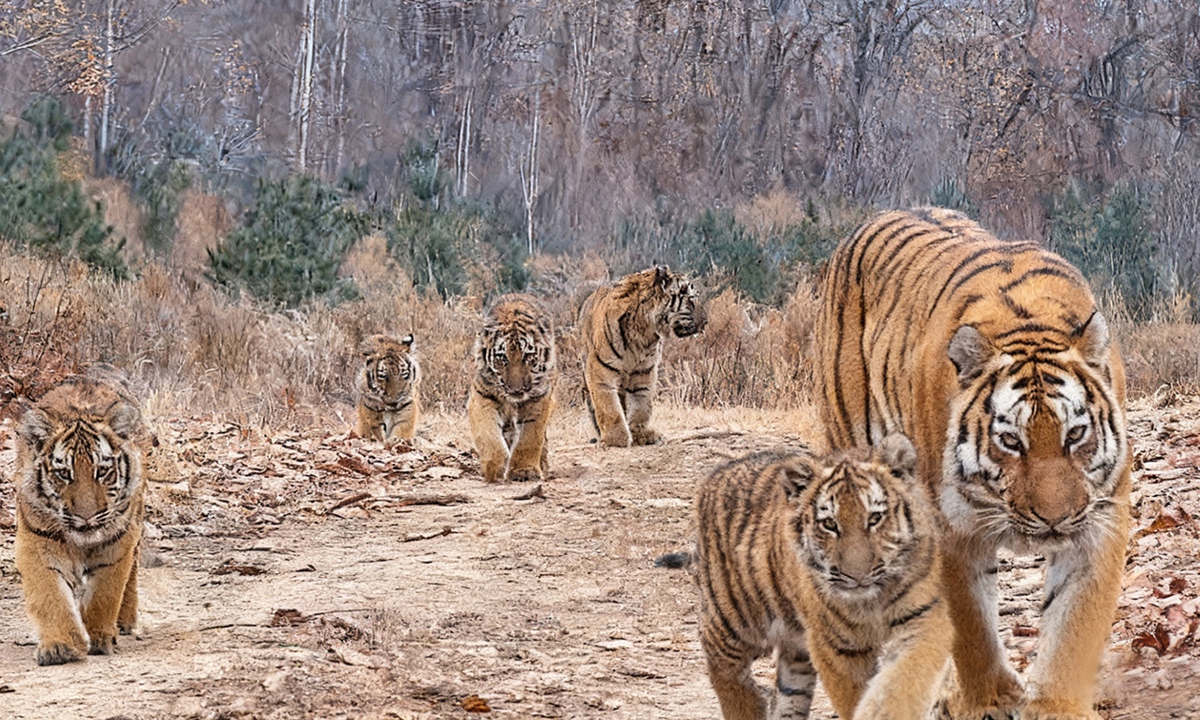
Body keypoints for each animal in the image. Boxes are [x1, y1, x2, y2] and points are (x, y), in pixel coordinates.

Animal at [13, 368, 146, 665]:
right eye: (64, 473)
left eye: (102, 471)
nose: (86, 517)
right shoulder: (38, 542)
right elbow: (51, 596)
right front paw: (60, 646)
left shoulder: (118, 542)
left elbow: (105, 593)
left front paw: (100, 638)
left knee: (132, 574)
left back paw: (125, 622)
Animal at [467, 293, 558, 482]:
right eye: (502, 358)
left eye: (528, 356)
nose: (516, 390)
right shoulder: (482, 395)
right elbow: (488, 434)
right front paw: (494, 467)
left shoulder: (539, 398)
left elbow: (530, 437)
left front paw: (524, 471)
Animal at [578, 265, 705, 447]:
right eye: (691, 299)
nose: (706, 321)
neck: (644, 332)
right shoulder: (600, 370)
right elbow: (608, 406)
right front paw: (616, 439)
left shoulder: (644, 371)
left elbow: (641, 405)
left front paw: (640, 435)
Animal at [681, 433, 949, 720]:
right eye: (829, 524)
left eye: (875, 518)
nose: (857, 576)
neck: (872, 601)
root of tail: (717, 472)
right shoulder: (836, 647)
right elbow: (854, 696)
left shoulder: (923, 619)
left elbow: (903, 681)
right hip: (733, 619)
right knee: (722, 667)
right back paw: (747, 706)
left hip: (795, 650)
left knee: (788, 693)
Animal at [815, 207, 1131, 720]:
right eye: (1010, 441)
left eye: (1075, 435)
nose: (1055, 519)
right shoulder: (949, 529)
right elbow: (971, 626)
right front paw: (992, 700)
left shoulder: (1100, 519)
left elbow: (1075, 623)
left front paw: (1057, 705)